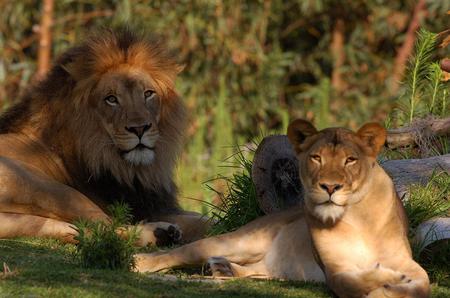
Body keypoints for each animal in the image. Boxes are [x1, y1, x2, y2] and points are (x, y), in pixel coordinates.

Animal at [0, 28, 207, 246]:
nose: (140, 128)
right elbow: (205, 220)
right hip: (48, 187)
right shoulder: (143, 207)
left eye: (148, 94)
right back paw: (161, 232)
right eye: (111, 99)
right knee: (108, 224)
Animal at [134, 119, 428, 298]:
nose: (329, 187)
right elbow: (352, 283)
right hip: (238, 241)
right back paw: (140, 261)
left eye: (350, 160)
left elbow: (421, 284)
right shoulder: (334, 269)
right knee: (181, 251)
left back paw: (224, 270)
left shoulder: (407, 262)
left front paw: (394, 284)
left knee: (261, 271)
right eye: (316, 158)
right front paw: (385, 281)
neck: (357, 215)